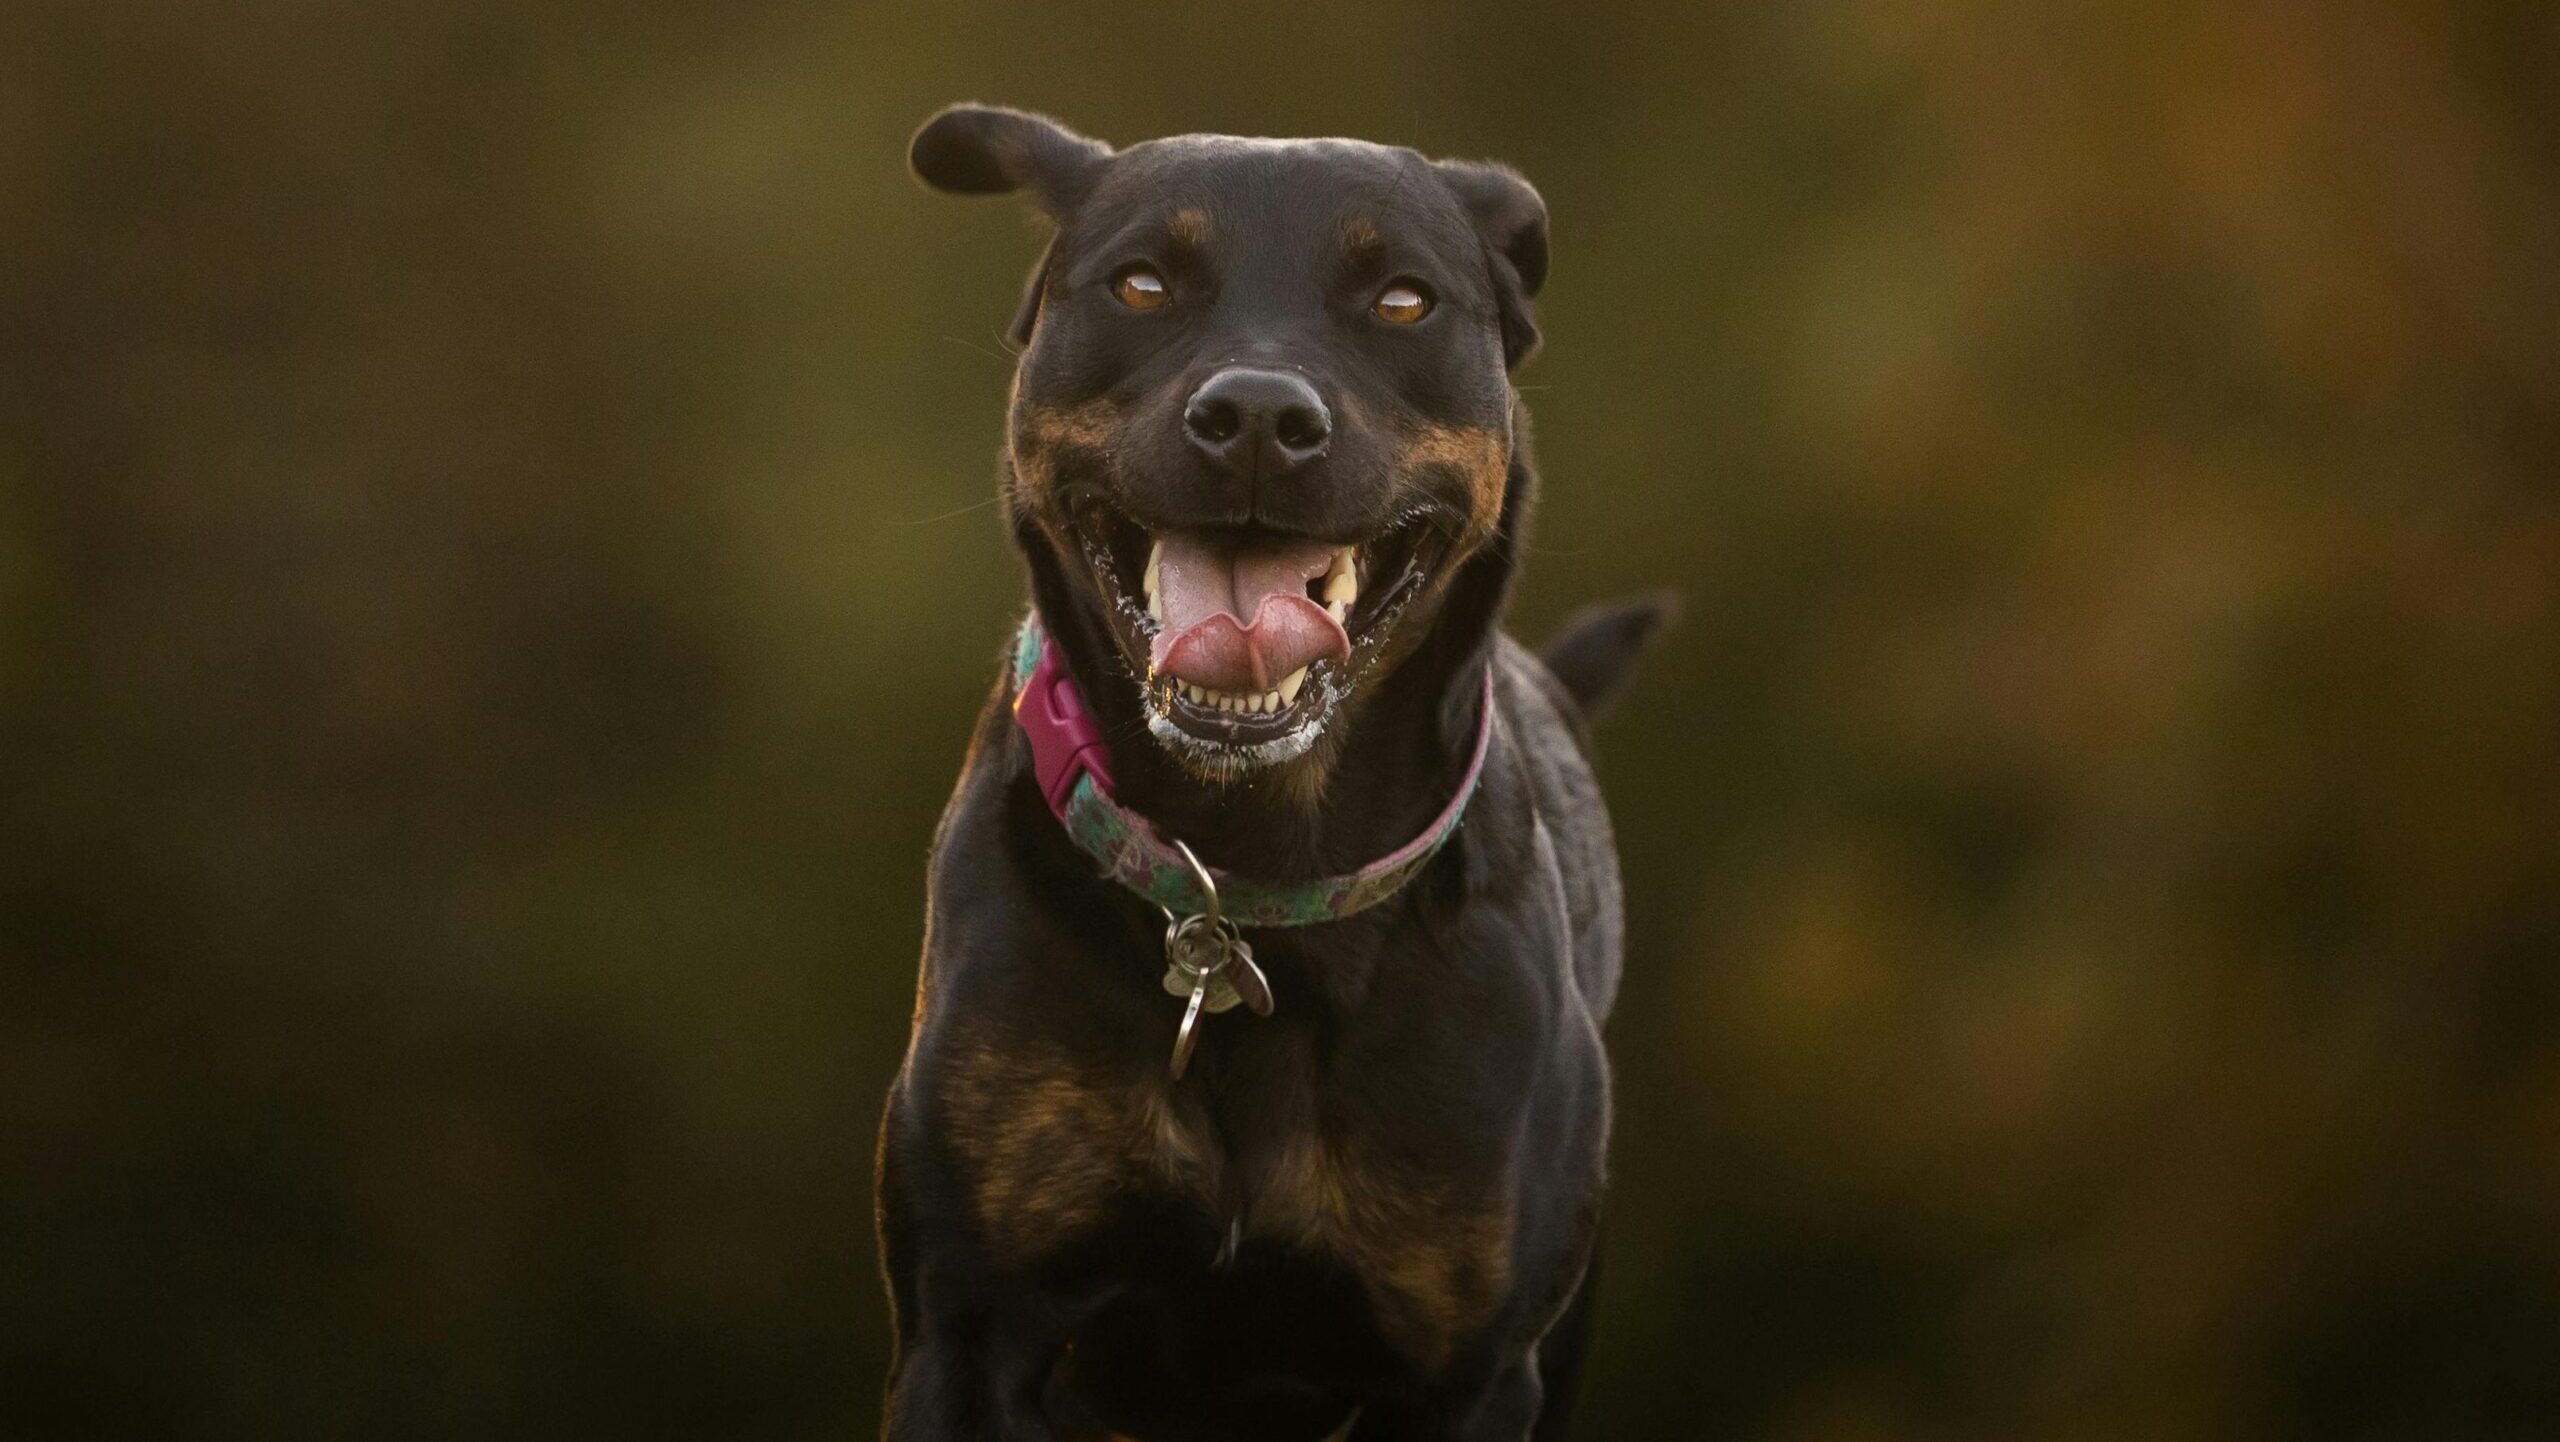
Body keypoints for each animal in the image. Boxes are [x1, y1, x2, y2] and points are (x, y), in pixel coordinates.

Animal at [880, 104, 1669, 1442]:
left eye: (1403, 301)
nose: (1255, 414)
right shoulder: (966, 1330)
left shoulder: (1471, 1369)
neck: (1248, 876)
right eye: (1142, 284)